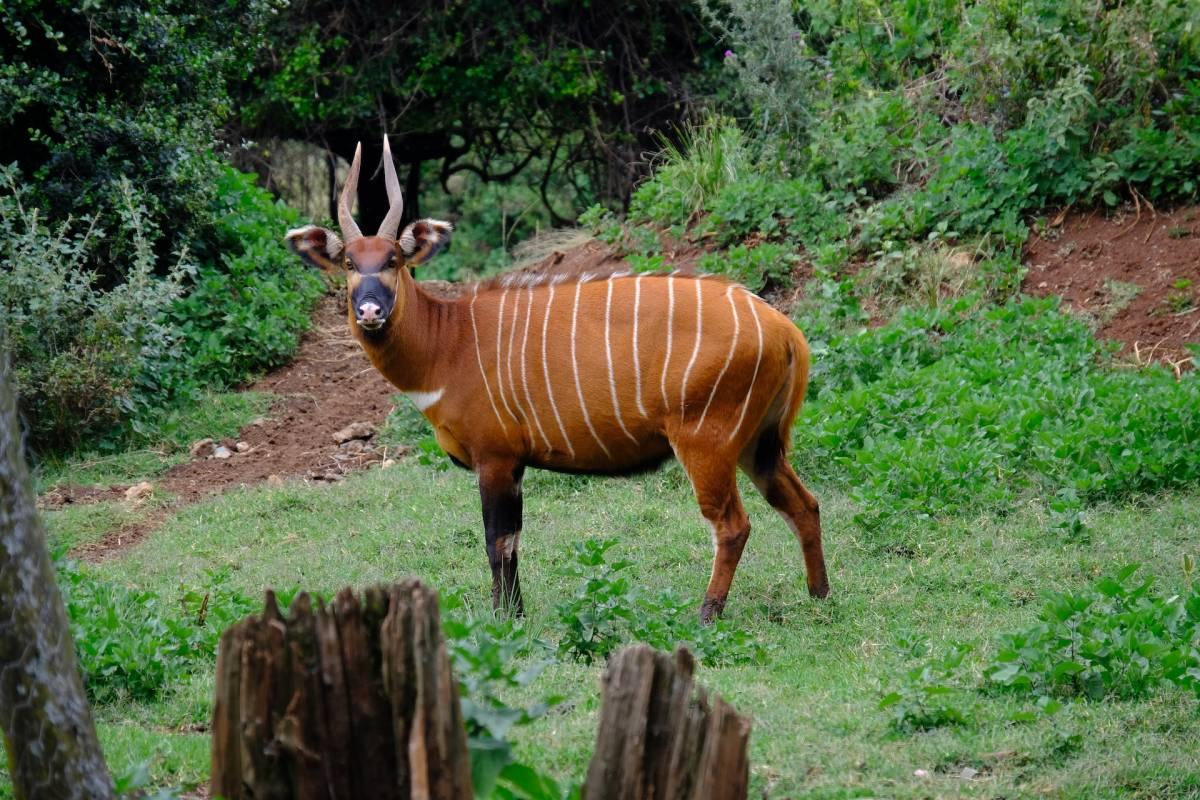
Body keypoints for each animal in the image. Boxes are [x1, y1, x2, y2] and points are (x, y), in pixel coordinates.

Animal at [286, 136, 830, 623]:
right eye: (350, 262)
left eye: (394, 261)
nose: (370, 310)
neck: (450, 340)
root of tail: (785, 330)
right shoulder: (515, 466)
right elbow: (513, 541)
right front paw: (518, 614)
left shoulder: (495, 459)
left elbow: (497, 542)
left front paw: (505, 621)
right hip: (759, 443)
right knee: (805, 504)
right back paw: (819, 597)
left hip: (707, 442)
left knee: (733, 524)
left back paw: (707, 614)